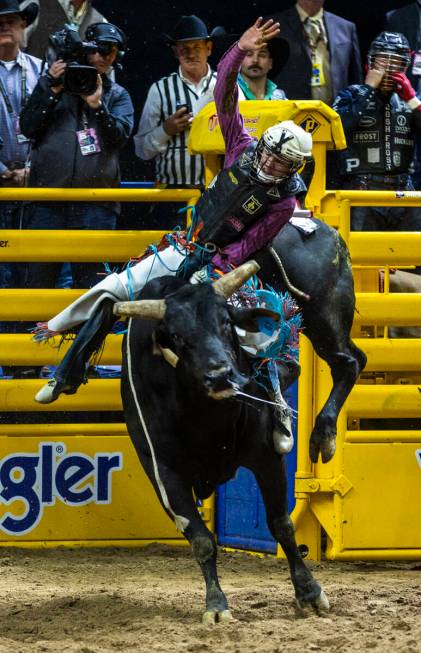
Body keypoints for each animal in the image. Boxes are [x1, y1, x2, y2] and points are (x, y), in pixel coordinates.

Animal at [115, 219, 364, 620]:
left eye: (226, 323)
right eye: (178, 337)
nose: (220, 374)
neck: (206, 418)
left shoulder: (266, 456)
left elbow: (281, 525)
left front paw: (310, 592)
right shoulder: (164, 472)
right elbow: (201, 539)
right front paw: (216, 605)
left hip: (325, 314)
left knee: (349, 361)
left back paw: (322, 435)